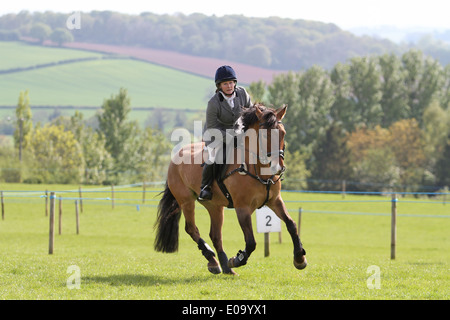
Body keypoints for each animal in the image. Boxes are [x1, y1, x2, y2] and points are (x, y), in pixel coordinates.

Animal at [154, 104, 306, 274]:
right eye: (264, 136)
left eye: (283, 133)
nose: (277, 168)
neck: (257, 169)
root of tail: (175, 156)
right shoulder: (242, 208)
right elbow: (251, 242)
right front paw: (237, 259)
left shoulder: (275, 201)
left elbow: (291, 224)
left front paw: (299, 258)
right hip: (186, 201)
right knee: (191, 229)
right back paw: (213, 259)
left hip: (214, 205)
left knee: (215, 235)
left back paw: (223, 266)